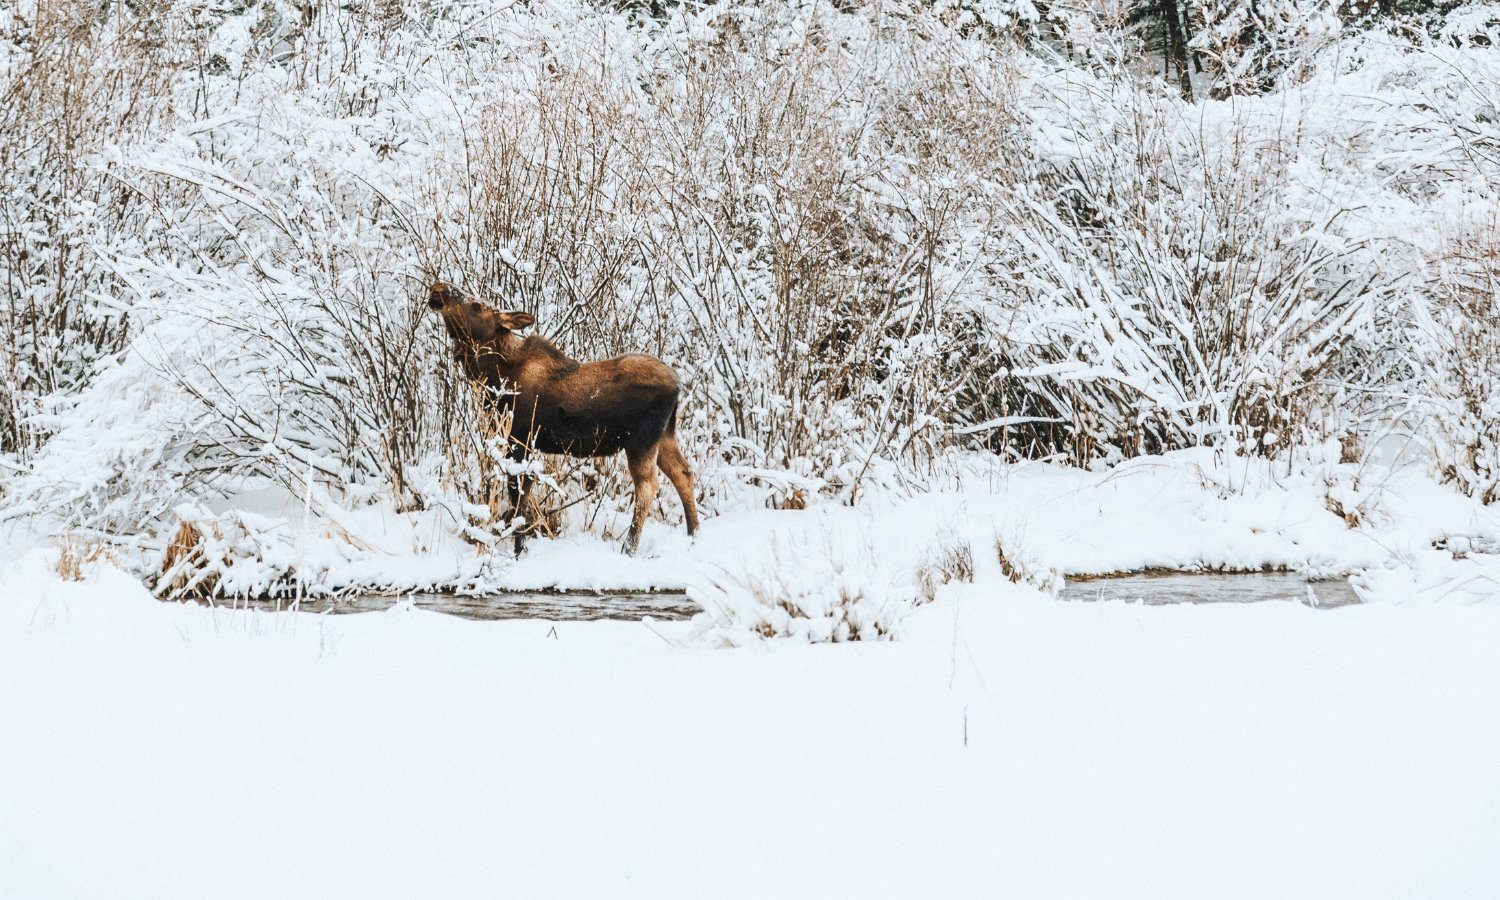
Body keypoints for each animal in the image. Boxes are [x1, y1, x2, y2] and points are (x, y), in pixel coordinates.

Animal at [428, 281, 699, 555]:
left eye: (477, 305)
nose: (438, 288)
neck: (493, 375)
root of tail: (678, 384)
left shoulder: (520, 439)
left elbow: (518, 496)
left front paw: (519, 549)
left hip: (641, 441)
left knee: (648, 487)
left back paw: (630, 547)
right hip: (665, 436)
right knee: (683, 473)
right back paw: (693, 533)